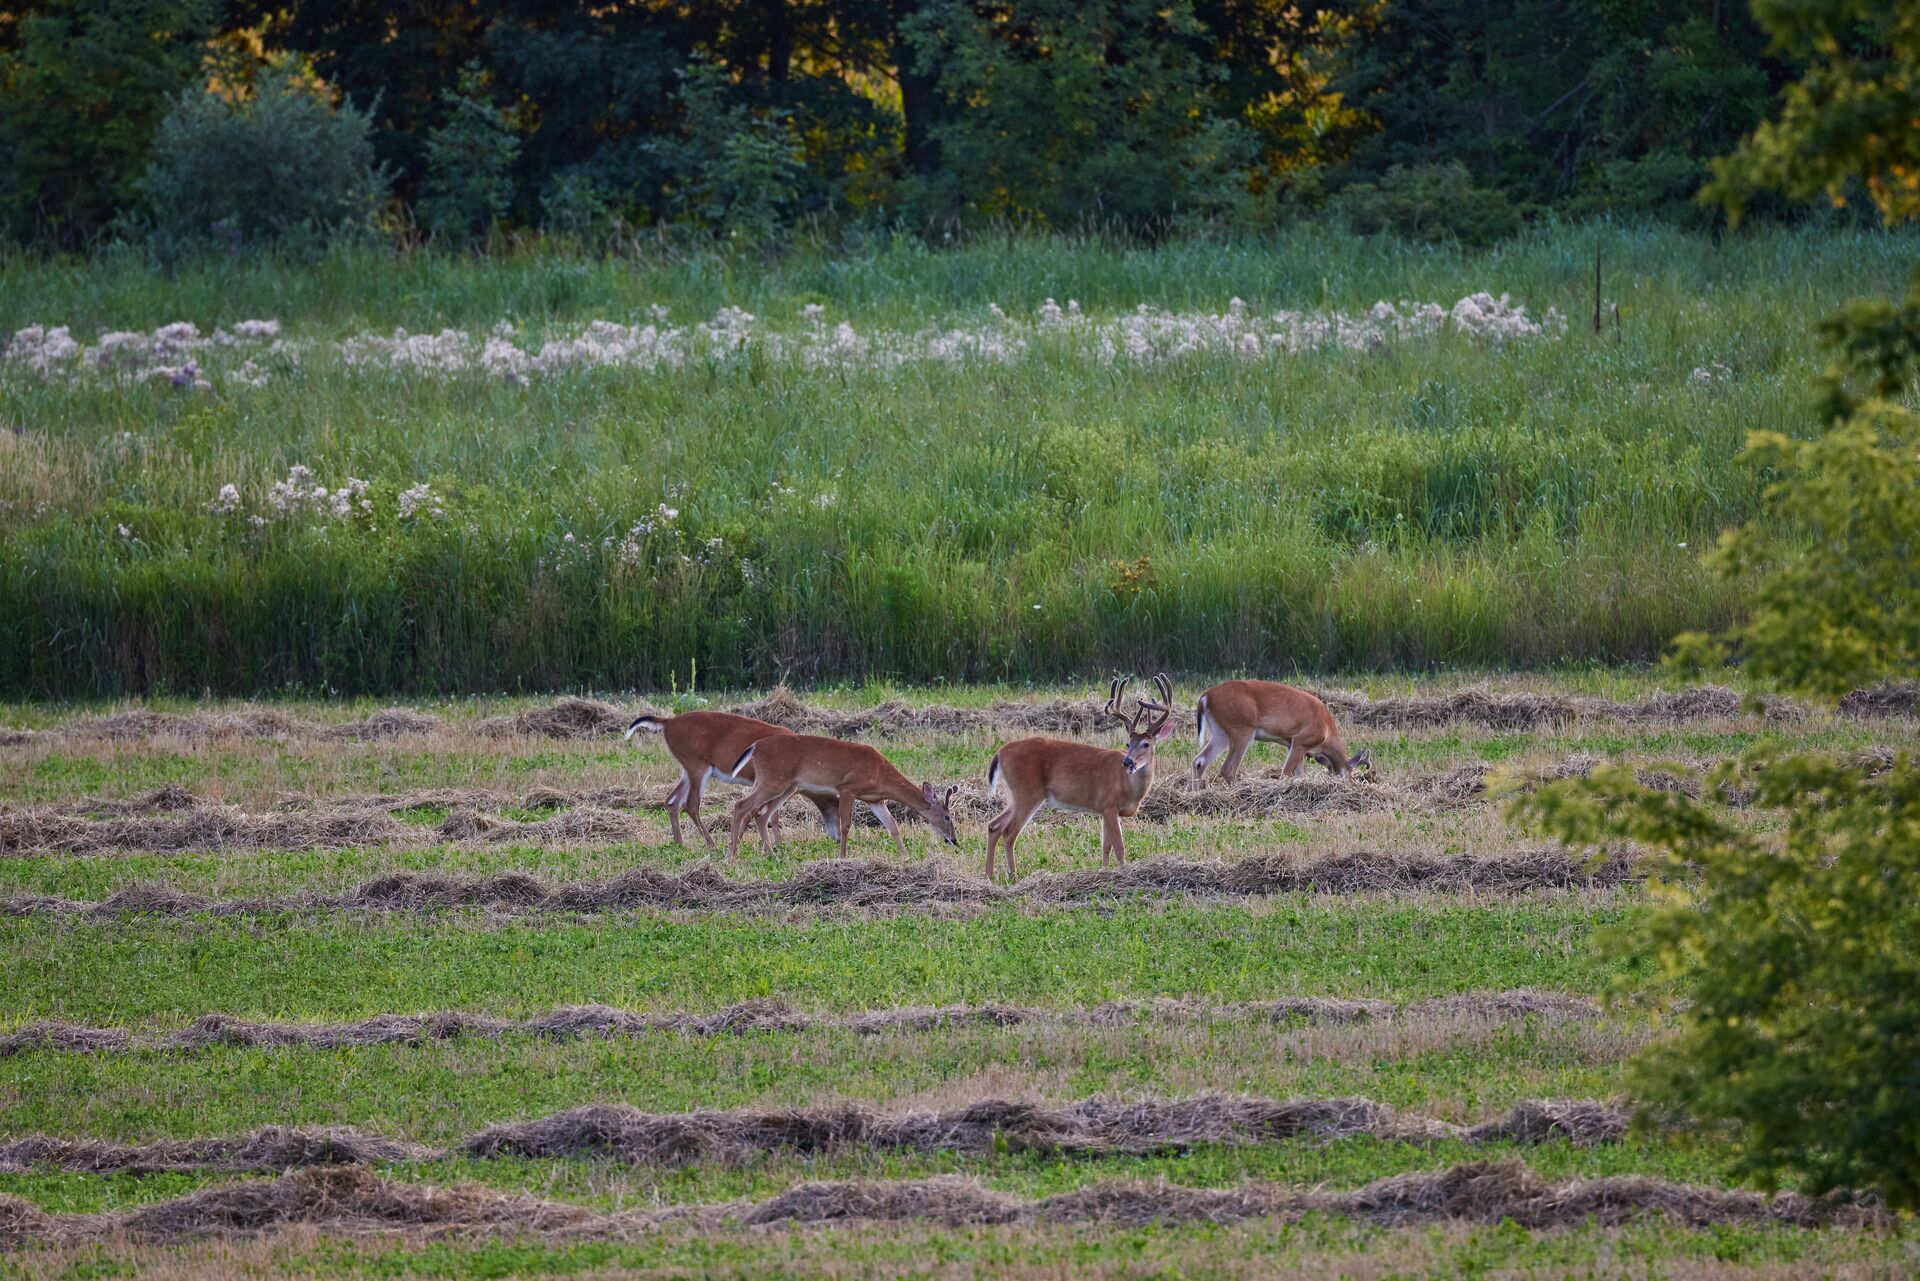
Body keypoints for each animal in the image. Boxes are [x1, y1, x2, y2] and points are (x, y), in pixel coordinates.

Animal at [629, 710, 840, 852]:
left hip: (688, 769)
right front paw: (738, 843)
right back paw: (712, 844)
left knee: (672, 800)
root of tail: (668, 722)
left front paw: (778, 844)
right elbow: (755, 812)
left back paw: (680, 843)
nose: (838, 838)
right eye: (839, 810)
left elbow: (771, 814)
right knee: (690, 804)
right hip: (697, 765)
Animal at [721, 729, 960, 860]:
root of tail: (754, 746)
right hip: (773, 780)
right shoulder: (847, 788)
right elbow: (845, 825)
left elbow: (892, 825)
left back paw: (768, 854)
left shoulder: (876, 799)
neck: (879, 774)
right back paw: (730, 855)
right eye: (948, 817)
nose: (954, 841)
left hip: (785, 786)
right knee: (741, 805)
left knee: (760, 813)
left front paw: (905, 855)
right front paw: (843, 856)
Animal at [983, 672, 1175, 883]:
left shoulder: (1104, 810)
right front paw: (1125, 874)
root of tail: (1000, 752)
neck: (1129, 788)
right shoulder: (1110, 805)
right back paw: (1014, 877)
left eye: (1146, 744)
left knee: (994, 826)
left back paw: (989, 875)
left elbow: (1105, 847)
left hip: (1017, 794)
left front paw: (1105, 873)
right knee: (1009, 832)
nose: (1127, 762)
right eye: (1128, 743)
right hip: (1027, 792)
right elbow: (1119, 847)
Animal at [1190, 679, 1374, 783]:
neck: (1327, 730)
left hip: (1221, 732)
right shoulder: (1301, 741)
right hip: (1242, 729)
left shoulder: (1293, 745)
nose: (1348, 785)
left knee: (1199, 761)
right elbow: (1286, 773)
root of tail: (1205, 697)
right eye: (1350, 774)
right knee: (1228, 769)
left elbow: (1300, 775)